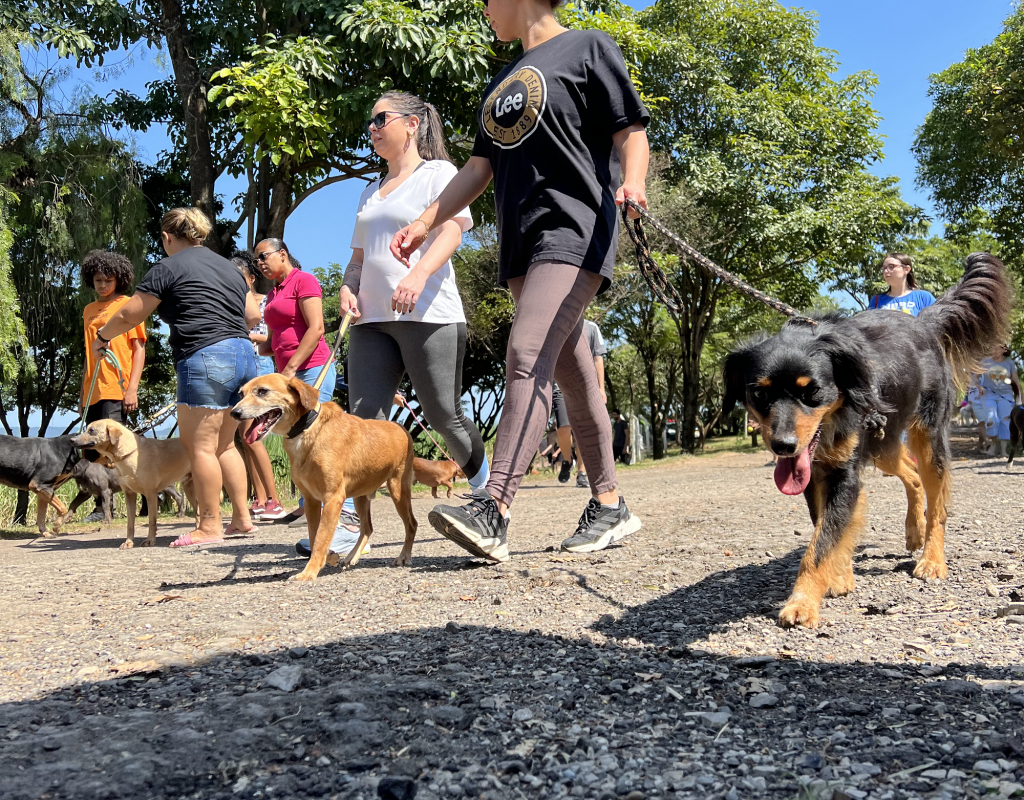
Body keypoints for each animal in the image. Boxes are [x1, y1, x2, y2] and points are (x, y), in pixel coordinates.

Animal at [724, 253, 1011, 626]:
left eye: (812, 392)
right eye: (759, 393)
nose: (783, 446)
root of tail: (923, 323)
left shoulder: (843, 474)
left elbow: (821, 544)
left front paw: (802, 601)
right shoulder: (817, 473)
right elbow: (826, 528)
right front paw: (839, 576)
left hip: (926, 437)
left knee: (937, 503)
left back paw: (932, 557)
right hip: (881, 443)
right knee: (911, 475)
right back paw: (913, 529)